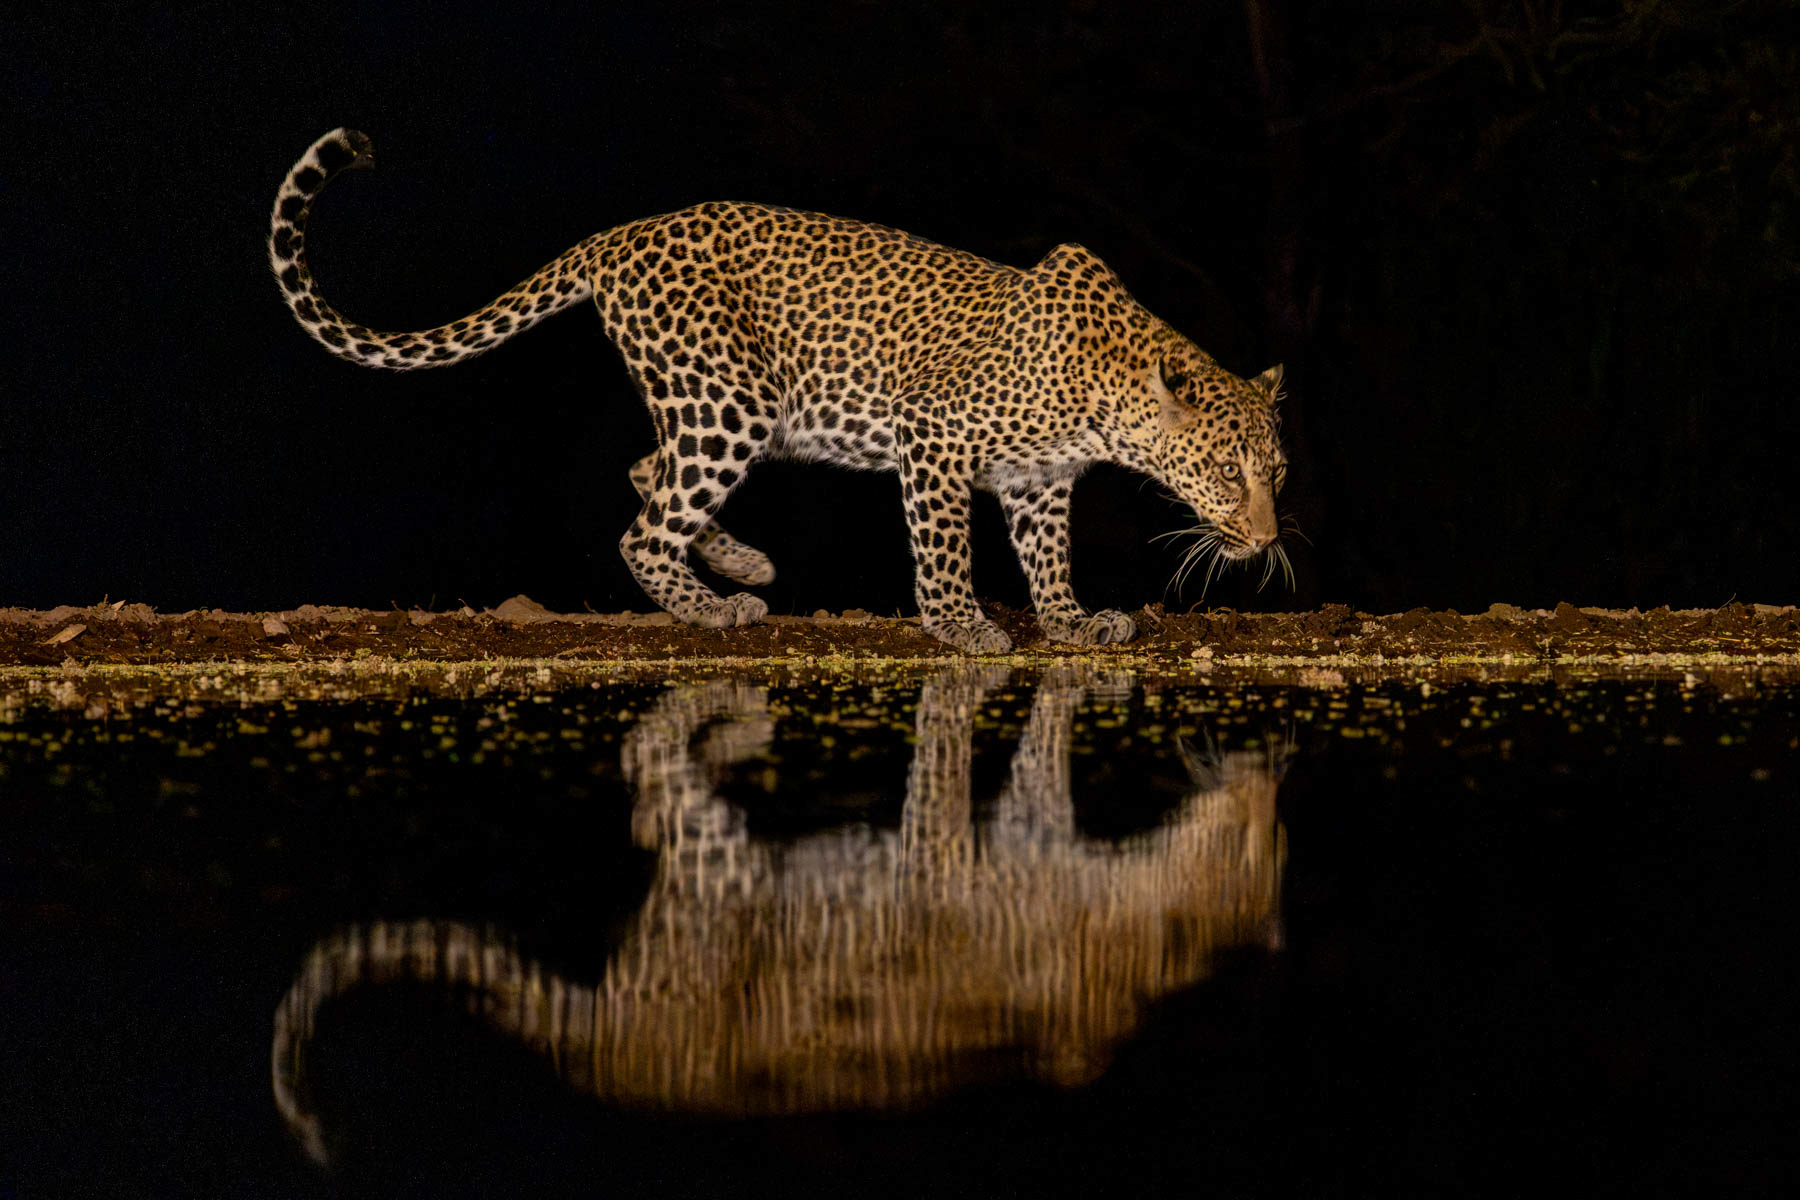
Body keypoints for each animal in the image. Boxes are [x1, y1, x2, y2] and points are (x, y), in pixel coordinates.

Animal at [269, 128, 1290, 653]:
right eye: (1226, 474)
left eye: (1275, 472)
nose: (1266, 539)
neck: (1102, 398)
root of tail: (615, 237)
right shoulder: (934, 439)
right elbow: (944, 549)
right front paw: (961, 626)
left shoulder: (1038, 482)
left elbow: (1047, 557)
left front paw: (1072, 623)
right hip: (731, 402)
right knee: (642, 525)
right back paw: (713, 605)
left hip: (714, 407)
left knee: (647, 474)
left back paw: (742, 565)